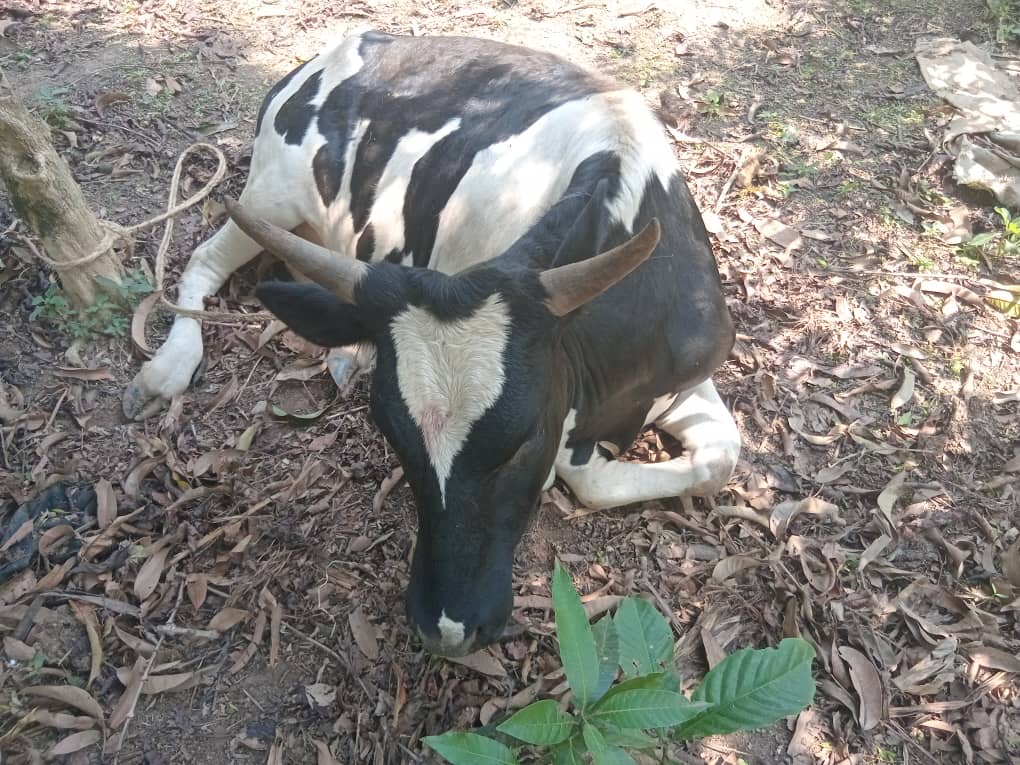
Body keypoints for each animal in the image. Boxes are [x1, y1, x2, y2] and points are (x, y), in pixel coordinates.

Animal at [122, 31, 741, 657]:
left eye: (522, 438)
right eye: (390, 432)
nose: (448, 629)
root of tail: (344, 45)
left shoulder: (686, 376)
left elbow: (719, 458)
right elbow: (587, 472)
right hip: (272, 194)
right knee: (202, 258)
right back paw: (169, 367)